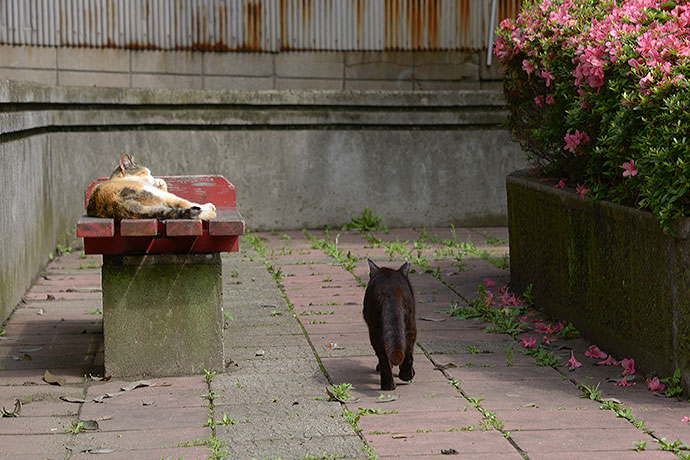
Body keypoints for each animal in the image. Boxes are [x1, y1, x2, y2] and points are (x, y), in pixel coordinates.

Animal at [86, 154, 215, 220]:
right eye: (145, 173)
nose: (153, 178)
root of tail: (115, 202)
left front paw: (160, 182)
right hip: (154, 193)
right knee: (184, 203)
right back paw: (208, 207)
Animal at [362, 256, 416, 390]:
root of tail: (389, 289)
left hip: (376, 327)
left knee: (384, 352)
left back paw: (389, 384)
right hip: (408, 323)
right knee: (406, 350)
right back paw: (403, 377)